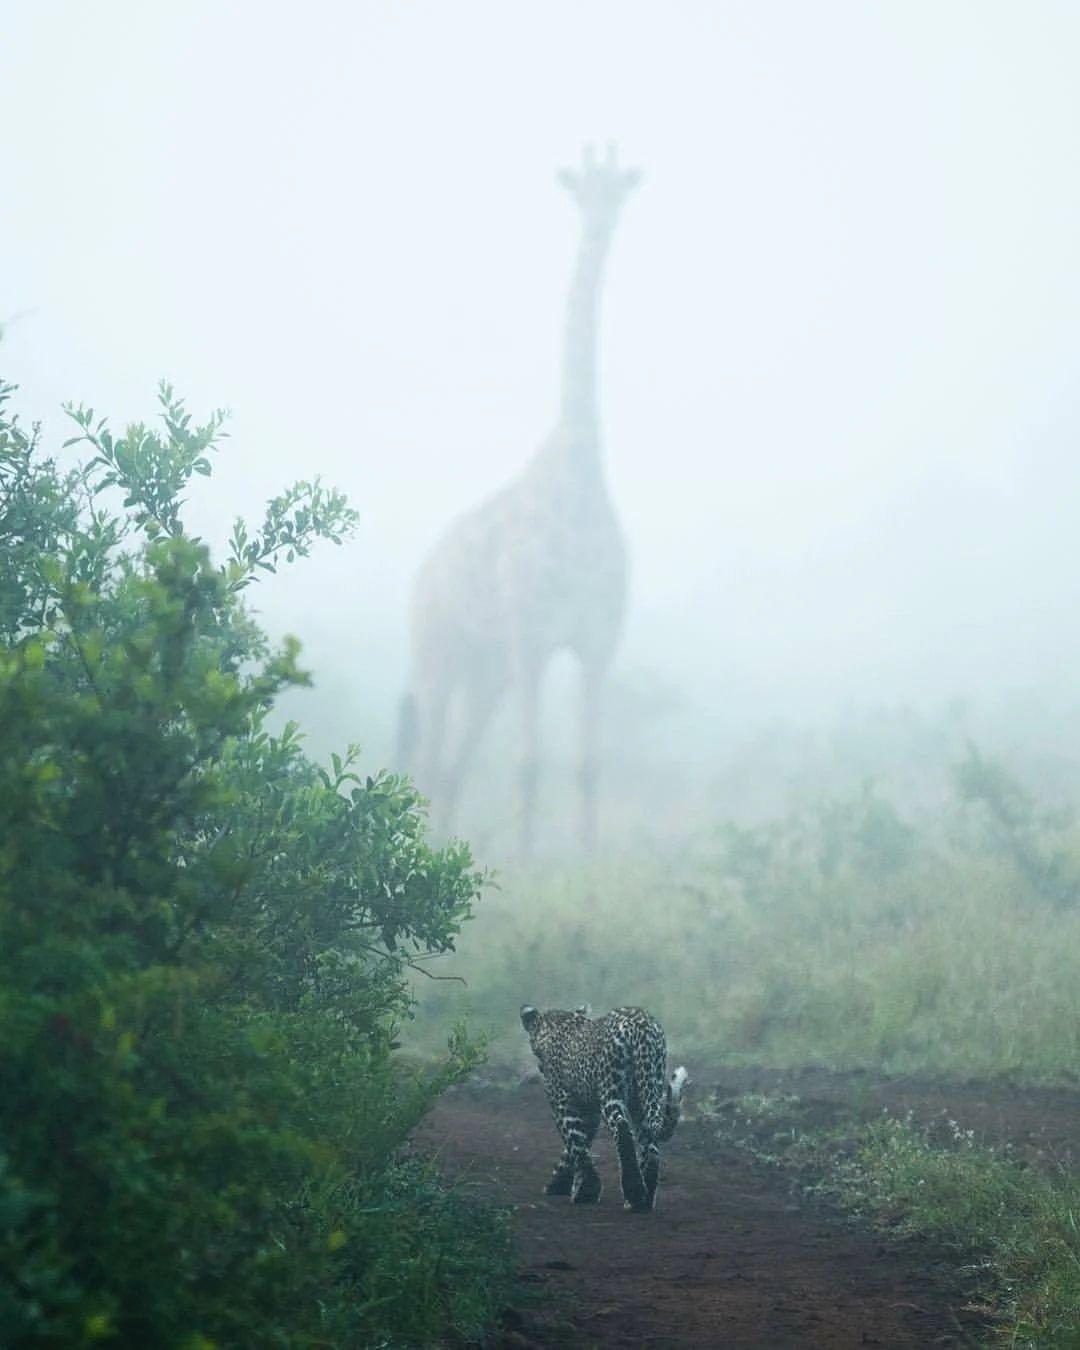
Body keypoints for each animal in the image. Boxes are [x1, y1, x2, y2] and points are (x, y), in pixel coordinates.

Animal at [399, 145, 642, 853]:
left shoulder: (596, 642)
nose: (601, 221)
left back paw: (442, 851)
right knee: (429, 761)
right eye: (581, 190)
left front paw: (586, 867)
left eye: (620, 190)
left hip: (486, 670)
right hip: (438, 652)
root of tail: (420, 578)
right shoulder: (530, 637)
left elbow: (588, 764)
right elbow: (530, 763)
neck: (580, 475)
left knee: (453, 765)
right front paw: (530, 868)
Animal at [518, 1004, 688, 1215]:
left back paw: (633, 1193)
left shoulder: (562, 1103)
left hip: (611, 1092)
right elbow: (577, 1146)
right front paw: (563, 1184)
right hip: (645, 1094)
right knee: (650, 1144)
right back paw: (644, 1200)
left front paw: (584, 1191)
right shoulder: (590, 1112)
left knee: (622, 1129)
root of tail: (643, 1027)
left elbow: (575, 1142)